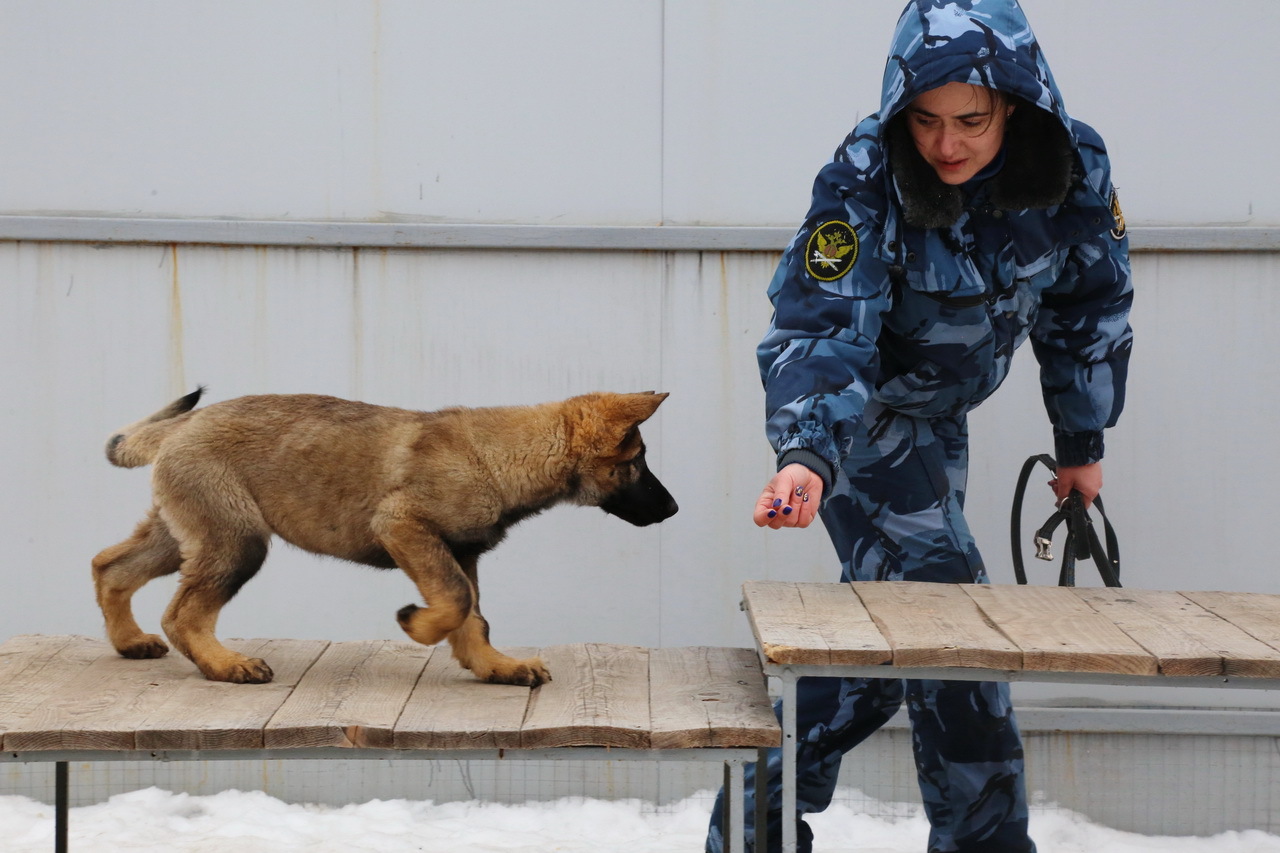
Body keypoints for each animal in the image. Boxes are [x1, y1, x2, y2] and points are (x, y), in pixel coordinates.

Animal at [91, 386, 680, 686]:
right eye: (637, 463)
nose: (674, 509)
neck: (499, 456)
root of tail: (179, 426)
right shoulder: (404, 527)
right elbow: (456, 602)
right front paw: (416, 625)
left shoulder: (460, 551)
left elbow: (473, 616)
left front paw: (494, 666)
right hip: (236, 540)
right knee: (182, 614)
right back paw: (224, 664)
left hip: (187, 532)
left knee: (110, 566)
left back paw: (129, 641)